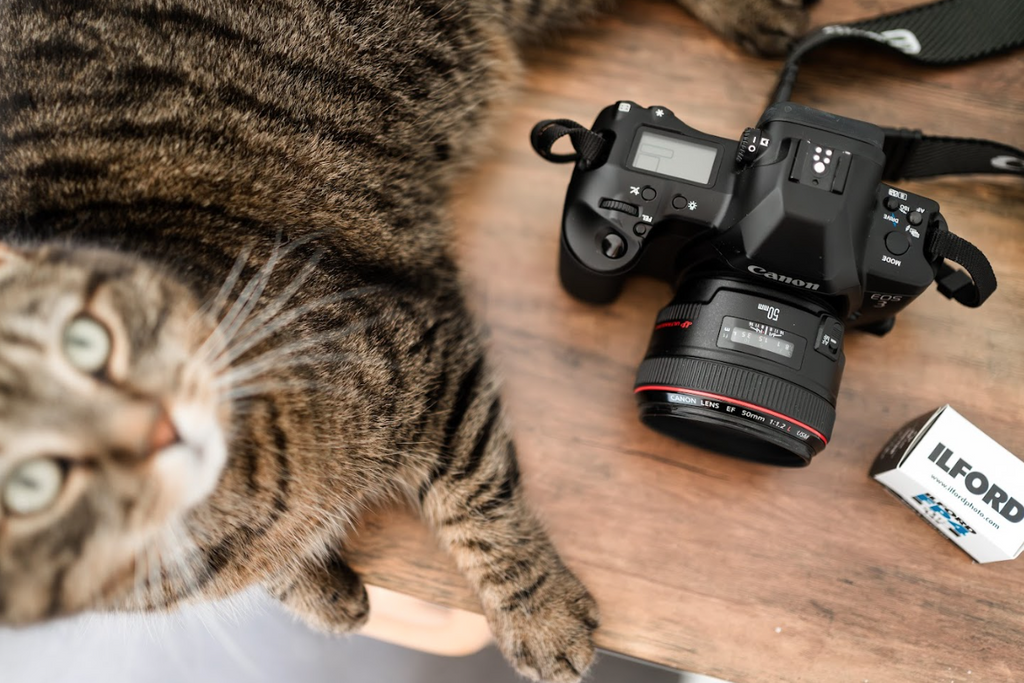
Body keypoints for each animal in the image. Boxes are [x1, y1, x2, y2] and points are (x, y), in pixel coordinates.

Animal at [2, 2, 806, 679]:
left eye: (87, 340)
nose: (159, 424)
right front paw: (321, 590)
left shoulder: (421, 352)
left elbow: (480, 499)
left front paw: (540, 614)